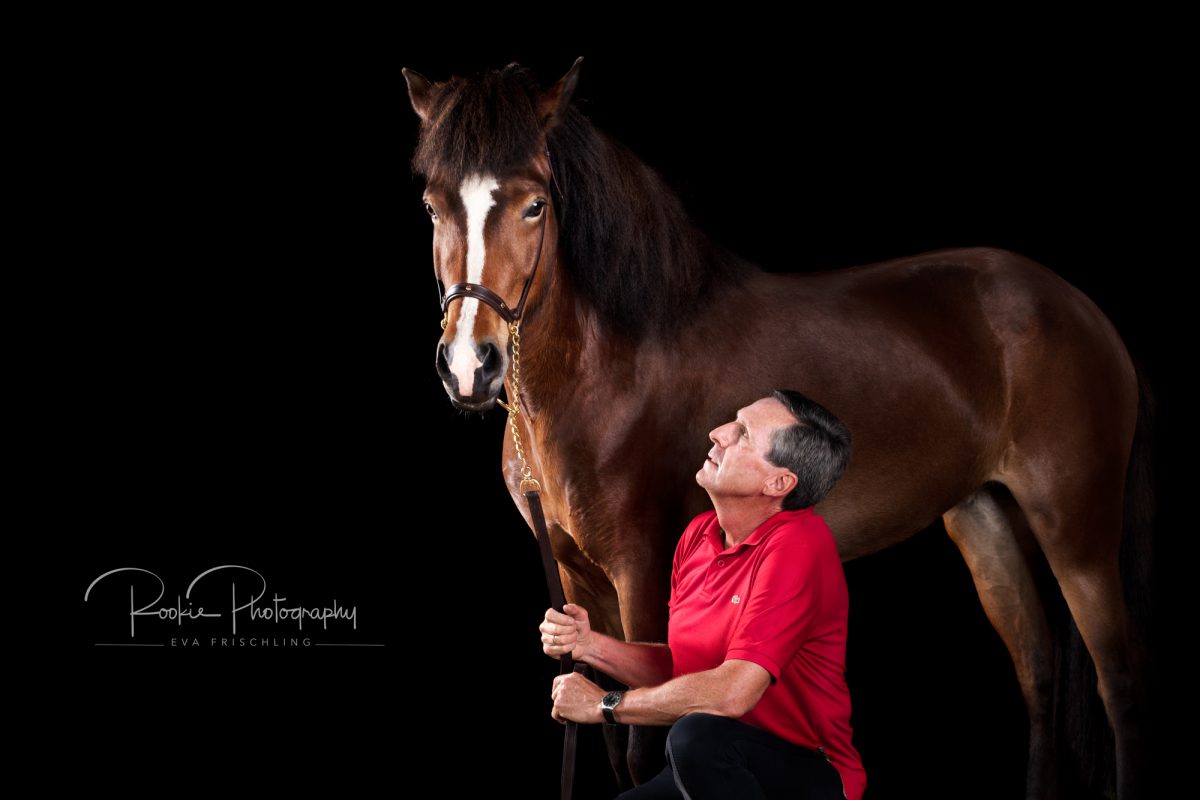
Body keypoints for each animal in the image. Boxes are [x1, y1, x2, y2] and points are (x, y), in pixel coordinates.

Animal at [403, 58, 1152, 799]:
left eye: (534, 204)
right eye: (433, 206)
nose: (470, 364)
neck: (617, 363)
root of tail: (1079, 308)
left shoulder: (642, 571)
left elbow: (643, 744)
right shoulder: (575, 578)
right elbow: (613, 748)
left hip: (1076, 530)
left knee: (1118, 683)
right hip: (983, 516)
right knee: (1039, 668)